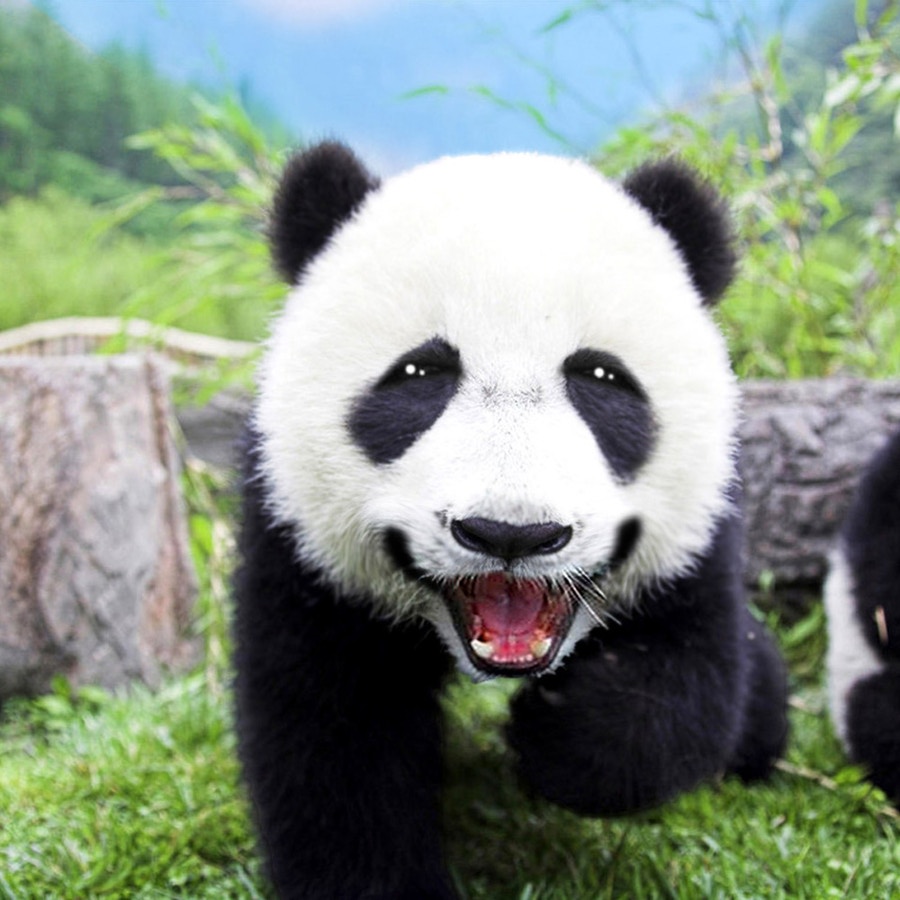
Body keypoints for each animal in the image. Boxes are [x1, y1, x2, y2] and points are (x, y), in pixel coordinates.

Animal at [233, 142, 789, 900]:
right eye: (419, 373)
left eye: (600, 378)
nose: (511, 533)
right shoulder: (299, 545)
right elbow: (333, 741)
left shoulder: (698, 535)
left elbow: (686, 679)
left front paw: (558, 733)